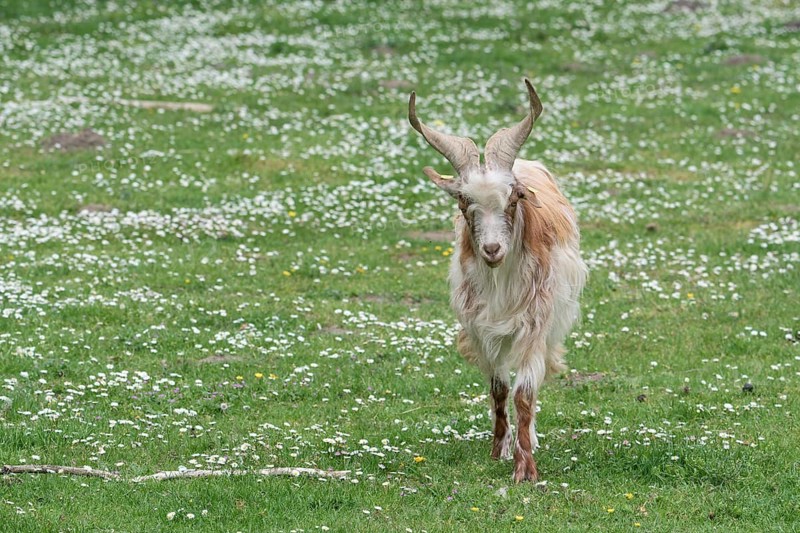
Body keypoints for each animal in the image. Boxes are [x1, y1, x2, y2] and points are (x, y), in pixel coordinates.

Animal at [408, 79, 587, 482]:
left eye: (515, 197)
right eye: (463, 202)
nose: (491, 249)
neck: (499, 281)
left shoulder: (535, 323)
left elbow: (525, 392)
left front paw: (526, 469)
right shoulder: (480, 327)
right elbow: (499, 388)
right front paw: (498, 450)